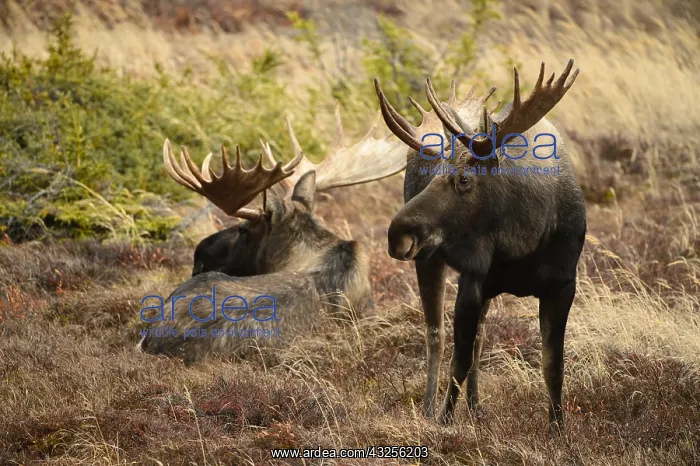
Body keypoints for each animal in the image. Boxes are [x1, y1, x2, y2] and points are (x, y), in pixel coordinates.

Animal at [373, 59, 586, 433]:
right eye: (433, 176)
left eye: (464, 179)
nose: (397, 234)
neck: (524, 241)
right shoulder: (473, 281)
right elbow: (458, 361)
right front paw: (444, 421)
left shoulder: (563, 285)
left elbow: (553, 366)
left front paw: (557, 429)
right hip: (428, 260)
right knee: (436, 334)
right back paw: (429, 407)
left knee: (480, 338)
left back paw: (475, 407)